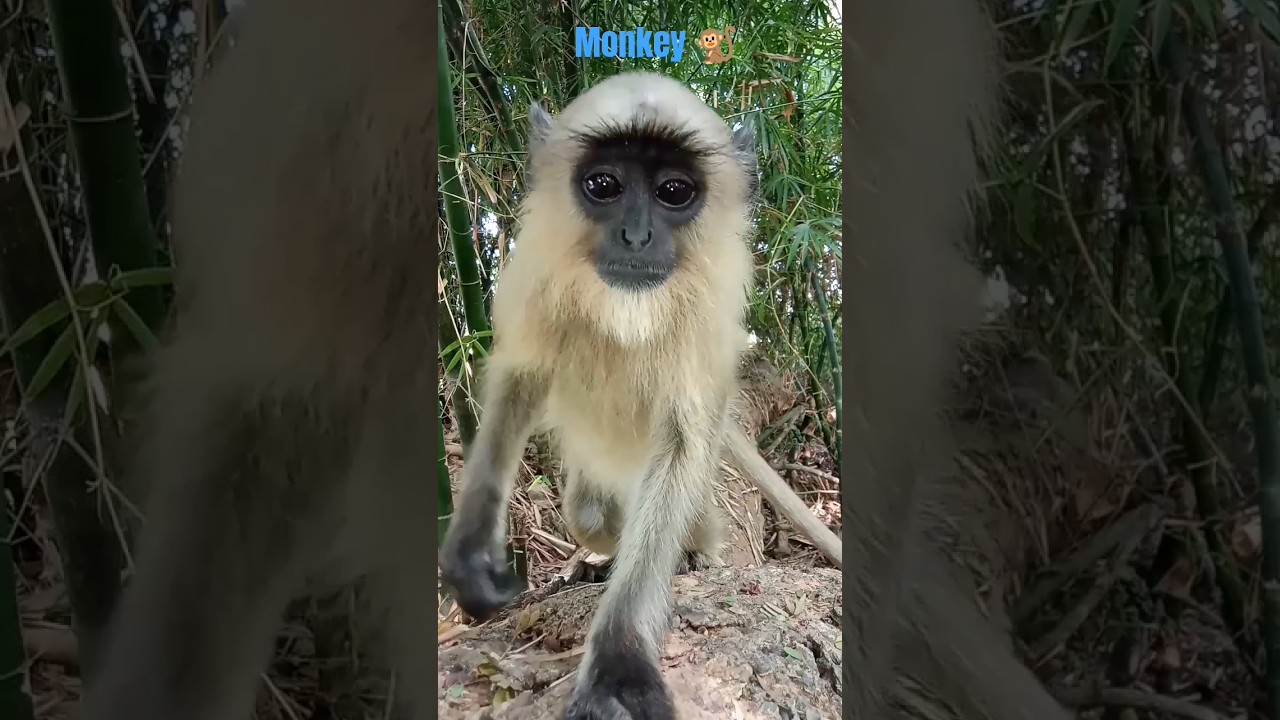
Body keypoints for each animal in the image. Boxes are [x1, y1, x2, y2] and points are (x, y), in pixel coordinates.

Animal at [438, 71, 759, 720]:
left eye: (673, 191)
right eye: (604, 185)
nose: (636, 236)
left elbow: (682, 446)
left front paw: (619, 660)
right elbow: (520, 381)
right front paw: (472, 552)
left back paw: (696, 552)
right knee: (588, 510)